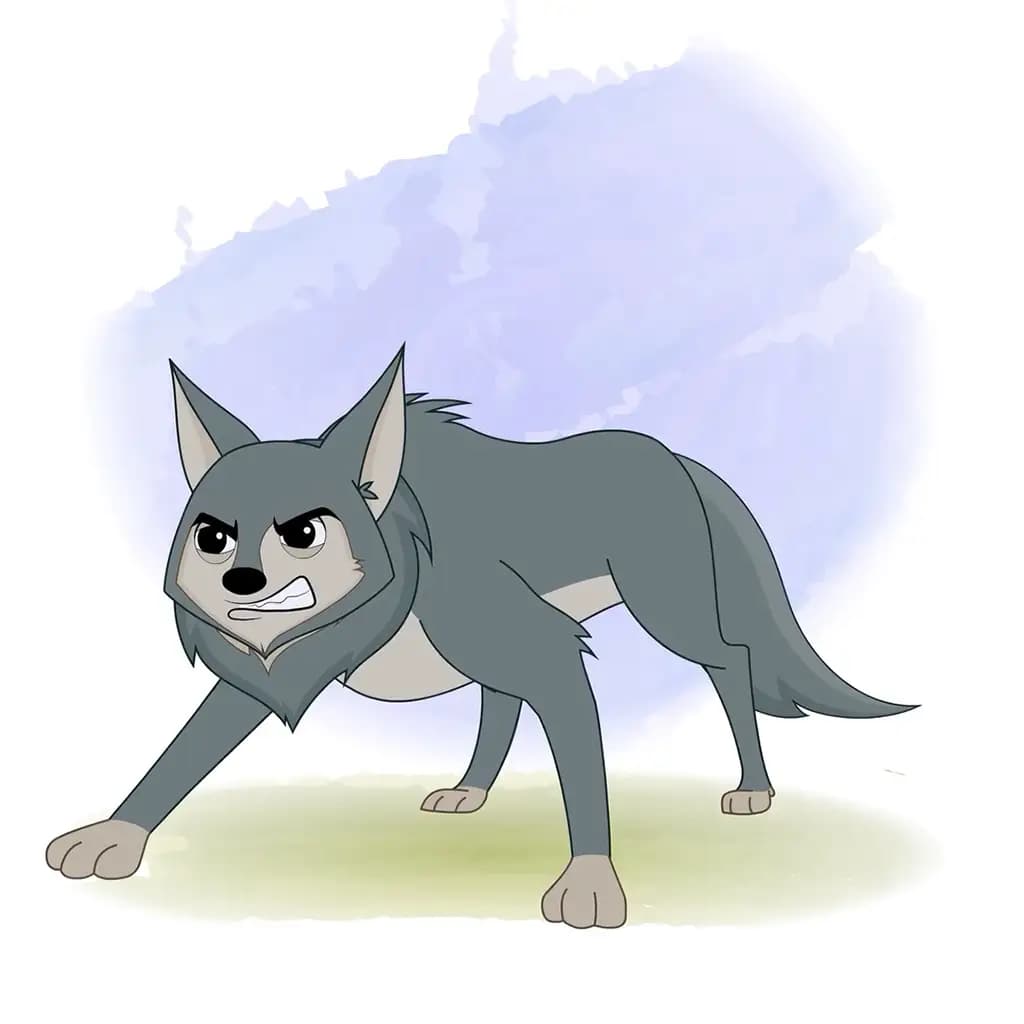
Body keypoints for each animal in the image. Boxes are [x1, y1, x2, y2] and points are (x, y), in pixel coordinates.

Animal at [46, 348, 915, 928]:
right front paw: (113, 836)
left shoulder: (543, 648)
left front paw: (590, 883)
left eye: (302, 532)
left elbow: (582, 769)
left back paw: (754, 788)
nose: (241, 583)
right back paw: (470, 790)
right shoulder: (263, 672)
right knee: (500, 704)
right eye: (212, 536)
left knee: (729, 663)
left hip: (666, 607)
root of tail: (673, 453)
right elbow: (181, 754)